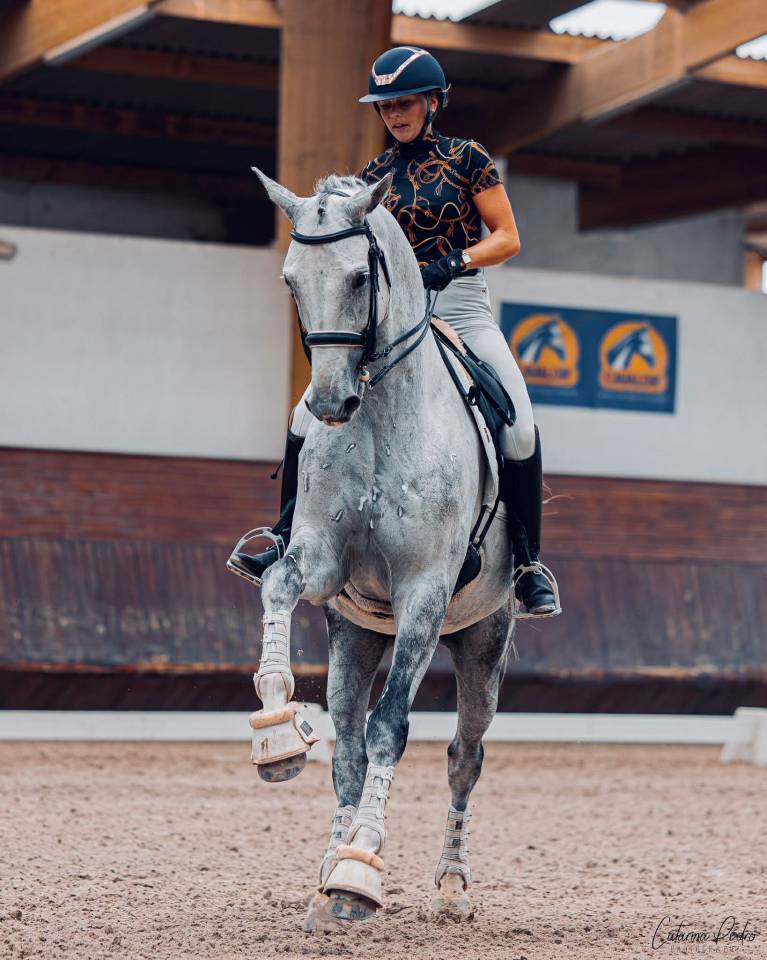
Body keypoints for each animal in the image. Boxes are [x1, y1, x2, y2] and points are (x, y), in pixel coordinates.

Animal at [243, 166, 517, 929]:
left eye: (361, 276)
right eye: (290, 280)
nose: (329, 404)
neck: (379, 418)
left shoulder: (423, 591)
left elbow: (392, 726)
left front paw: (362, 868)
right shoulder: (321, 557)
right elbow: (277, 583)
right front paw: (276, 728)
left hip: (483, 642)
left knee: (464, 754)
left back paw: (449, 884)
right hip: (355, 635)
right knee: (348, 745)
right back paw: (324, 875)